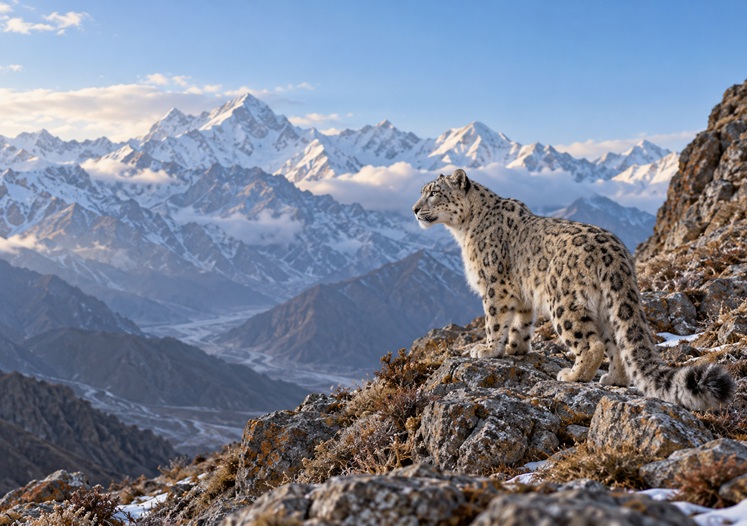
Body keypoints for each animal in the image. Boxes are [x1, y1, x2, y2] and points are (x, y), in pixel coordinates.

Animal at [412, 169, 734, 411]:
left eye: (434, 192)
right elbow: (521, 323)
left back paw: (572, 375)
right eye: (423, 191)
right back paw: (613, 380)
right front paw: (516, 348)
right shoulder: (522, 295)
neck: (463, 230)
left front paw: (487, 349)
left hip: (563, 302)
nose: (414, 209)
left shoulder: (495, 285)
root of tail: (617, 254)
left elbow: (494, 319)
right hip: (606, 307)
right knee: (616, 343)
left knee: (591, 344)